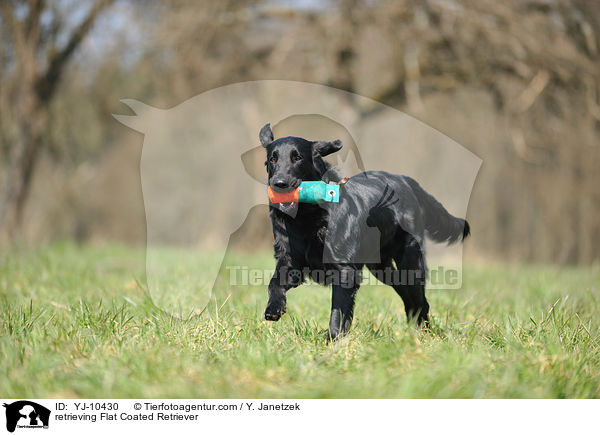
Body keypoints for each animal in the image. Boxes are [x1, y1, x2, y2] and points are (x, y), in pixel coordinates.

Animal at [260, 122, 472, 340]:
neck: (307, 215)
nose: (279, 184)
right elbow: (274, 283)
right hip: (381, 267)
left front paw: (333, 339)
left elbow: (337, 311)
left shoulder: (345, 269)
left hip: (410, 260)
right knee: (407, 294)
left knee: (419, 298)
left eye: (298, 158)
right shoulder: (290, 260)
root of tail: (406, 180)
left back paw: (424, 332)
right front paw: (274, 308)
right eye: (272, 159)